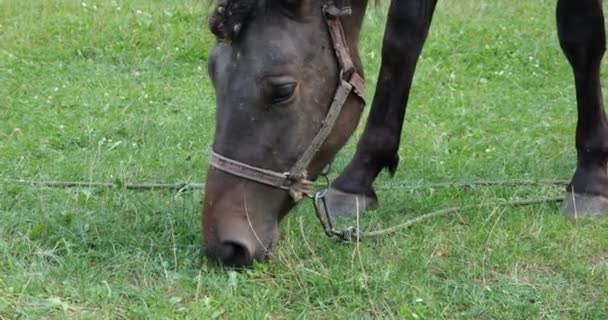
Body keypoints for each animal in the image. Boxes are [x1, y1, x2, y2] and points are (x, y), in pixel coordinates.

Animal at [203, 0, 608, 268]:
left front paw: (590, 177)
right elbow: (402, 38)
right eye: (211, 70)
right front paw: (358, 179)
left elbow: (580, 33)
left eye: (282, 90)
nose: (224, 244)